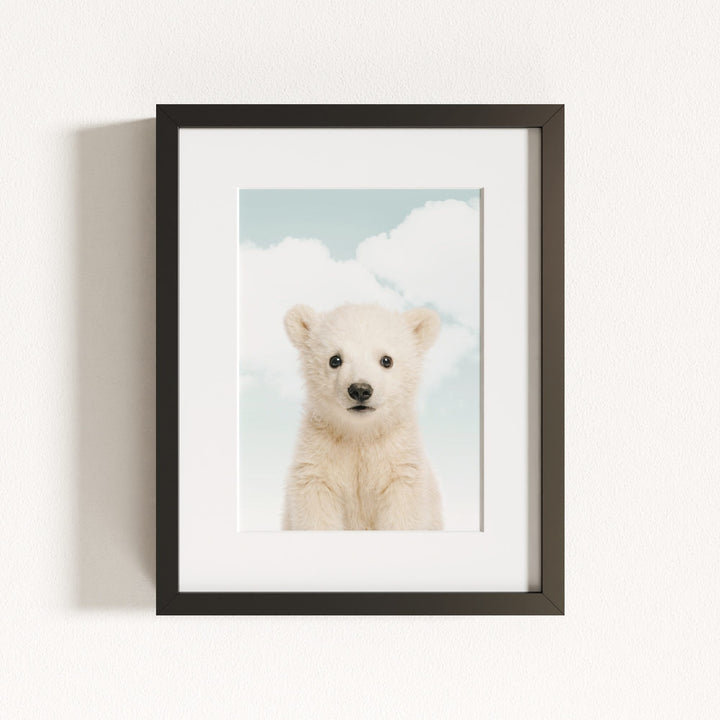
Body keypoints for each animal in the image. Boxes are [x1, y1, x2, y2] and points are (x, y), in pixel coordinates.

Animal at [282, 303, 443, 531]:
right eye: (335, 359)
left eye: (386, 360)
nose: (360, 390)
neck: (360, 434)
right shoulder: (318, 459)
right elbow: (316, 509)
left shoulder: (399, 463)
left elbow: (402, 513)